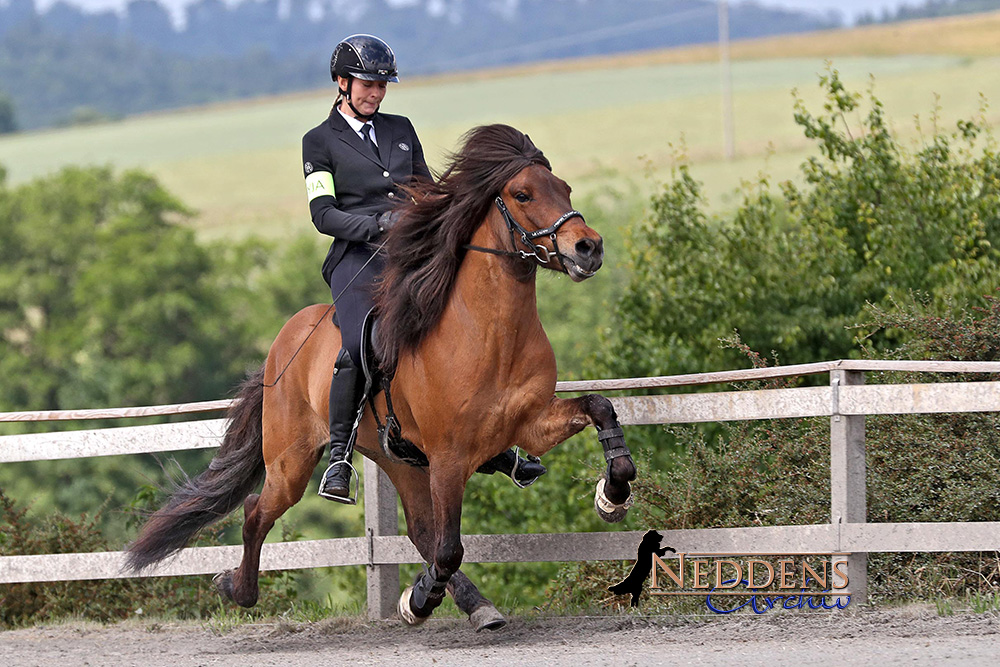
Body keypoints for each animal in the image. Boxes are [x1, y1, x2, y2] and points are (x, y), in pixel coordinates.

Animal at [125, 125, 636, 632]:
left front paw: (612, 495)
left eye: (565, 188)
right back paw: (240, 588)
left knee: (419, 530)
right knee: (257, 513)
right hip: (293, 461)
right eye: (523, 194)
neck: (490, 333)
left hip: (401, 460)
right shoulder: (449, 458)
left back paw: (472, 604)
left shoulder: (528, 425)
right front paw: (420, 598)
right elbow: (450, 547)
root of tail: (282, 344)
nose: (588, 248)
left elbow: (600, 407)